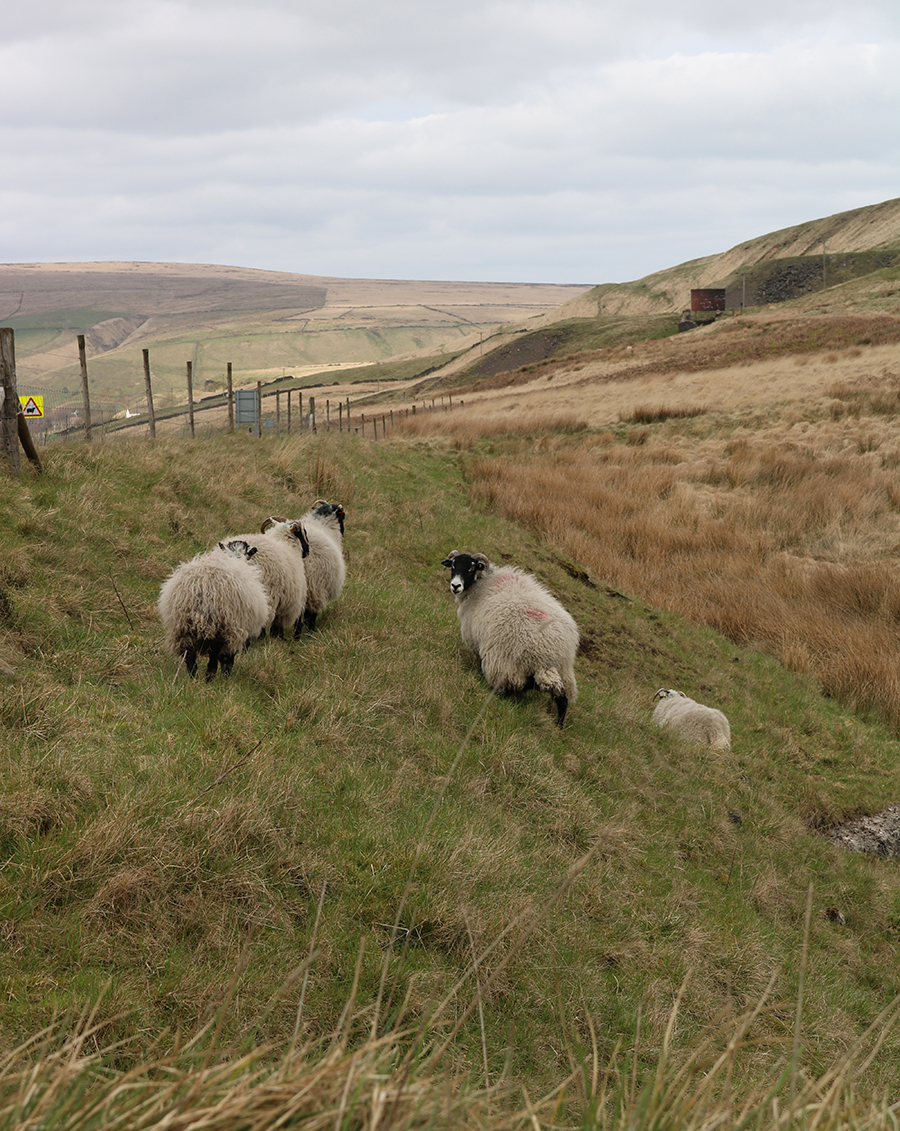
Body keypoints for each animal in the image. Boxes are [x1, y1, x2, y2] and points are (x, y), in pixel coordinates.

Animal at [158, 539, 271, 680]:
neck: (234, 557)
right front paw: (226, 676)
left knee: (189, 655)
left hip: (182, 625)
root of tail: (203, 584)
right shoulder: (237, 630)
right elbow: (227, 658)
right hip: (220, 623)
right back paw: (209, 677)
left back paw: (193, 679)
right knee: (214, 652)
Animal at [441, 550, 579, 727]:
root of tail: (549, 653)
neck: (482, 583)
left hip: (505, 663)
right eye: (453, 565)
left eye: (471, 568)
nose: (455, 586)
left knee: (516, 684)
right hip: (564, 672)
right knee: (562, 700)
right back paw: (558, 727)